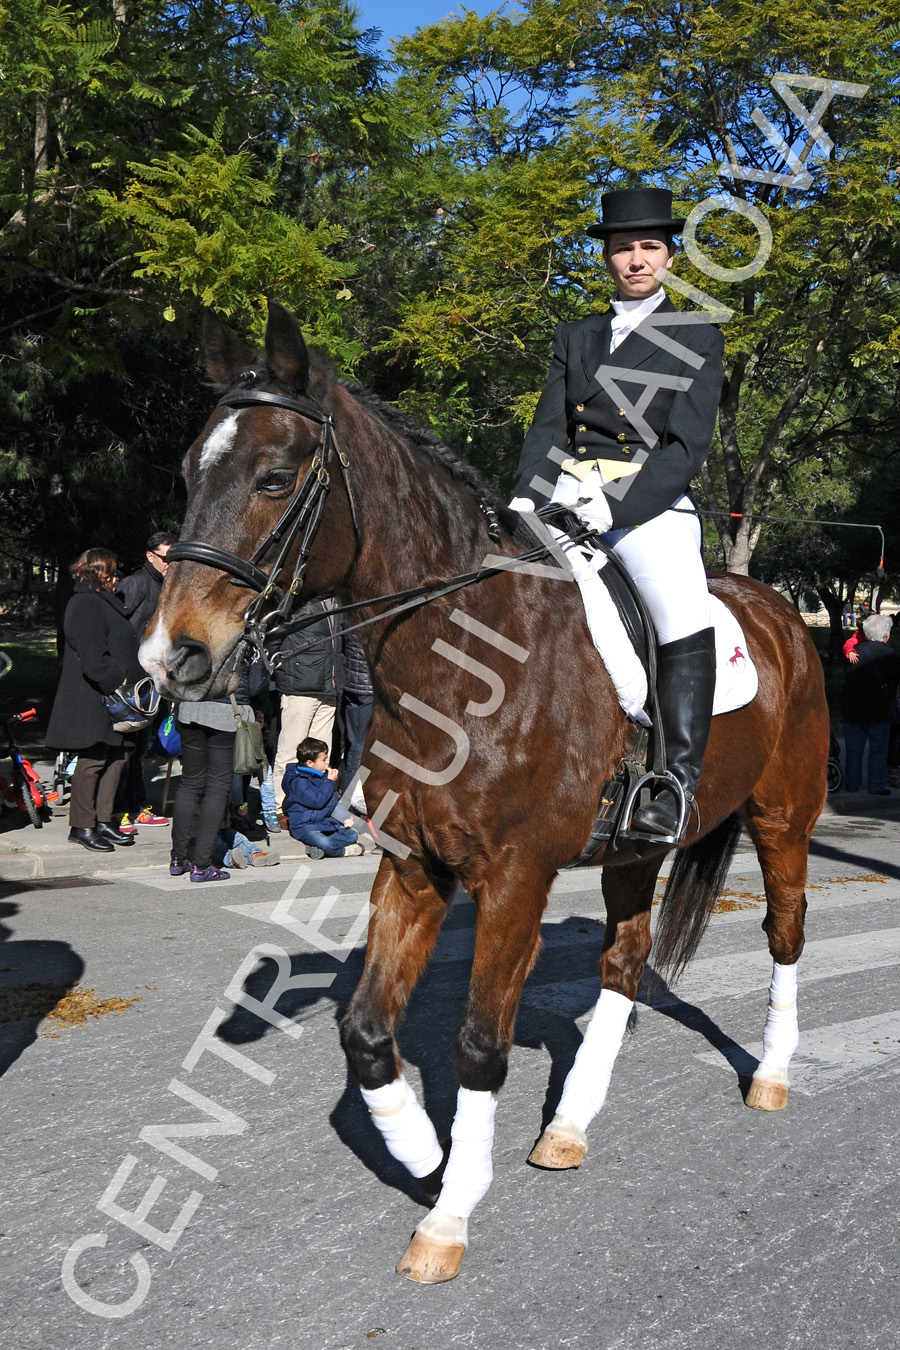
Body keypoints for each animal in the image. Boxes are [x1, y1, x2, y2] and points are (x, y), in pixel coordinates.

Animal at [142, 303, 831, 1285]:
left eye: (274, 478)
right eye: (189, 471)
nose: (172, 657)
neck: (463, 660)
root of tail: (781, 613)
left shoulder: (515, 877)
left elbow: (478, 1043)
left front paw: (450, 1212)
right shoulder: (414, 865)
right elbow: (365, 1032)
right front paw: (424, 1152)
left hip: (783, 819)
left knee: (785, 932)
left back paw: (771, 1075)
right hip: (632, 849)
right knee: (623, 960)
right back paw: (568, 1125)